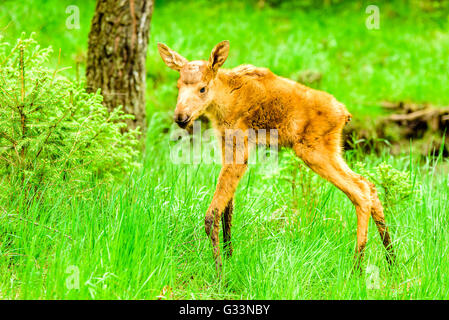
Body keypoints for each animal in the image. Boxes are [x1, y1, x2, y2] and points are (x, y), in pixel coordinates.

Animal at [157, 40, 392, 274]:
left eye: (202, 88)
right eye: (178, 86)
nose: (180, 117)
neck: (223, 102)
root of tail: (345, 114)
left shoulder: (240, 149)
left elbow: (212, 214)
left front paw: (220, 273)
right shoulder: (227, 145)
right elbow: (227, 210)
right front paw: (229, 256)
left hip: (314, 151)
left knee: (360, 191)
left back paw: (357, 267)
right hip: (329, 151)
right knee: (370, 186)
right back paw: (391, 260)